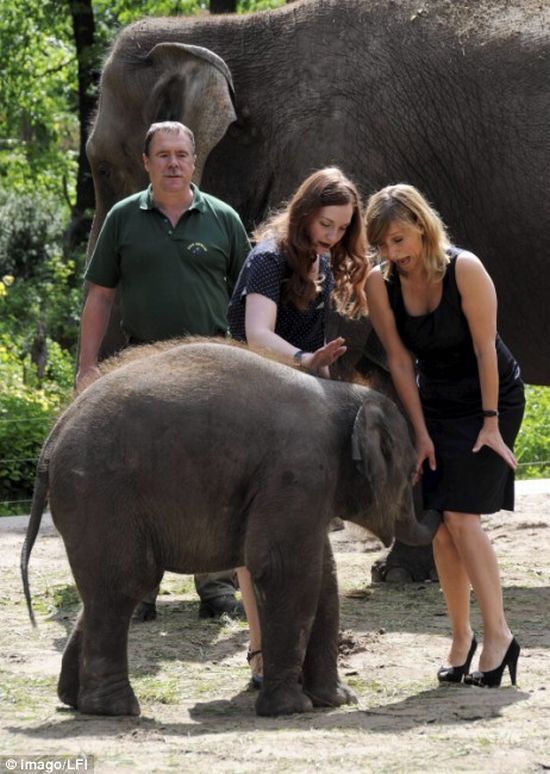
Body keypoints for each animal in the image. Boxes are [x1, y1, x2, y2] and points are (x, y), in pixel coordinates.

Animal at [21, 340, 440, 717]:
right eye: (412, 474)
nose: (441, 497)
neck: (342, 395)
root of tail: (52, 438)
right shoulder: (298, 471)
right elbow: (284, 569)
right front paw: (291, 709)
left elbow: (324, 575)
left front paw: (338, 701)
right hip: (101, 495)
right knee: (126, 583)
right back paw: (117, 709)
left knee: (101, 591)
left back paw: (74, 700)